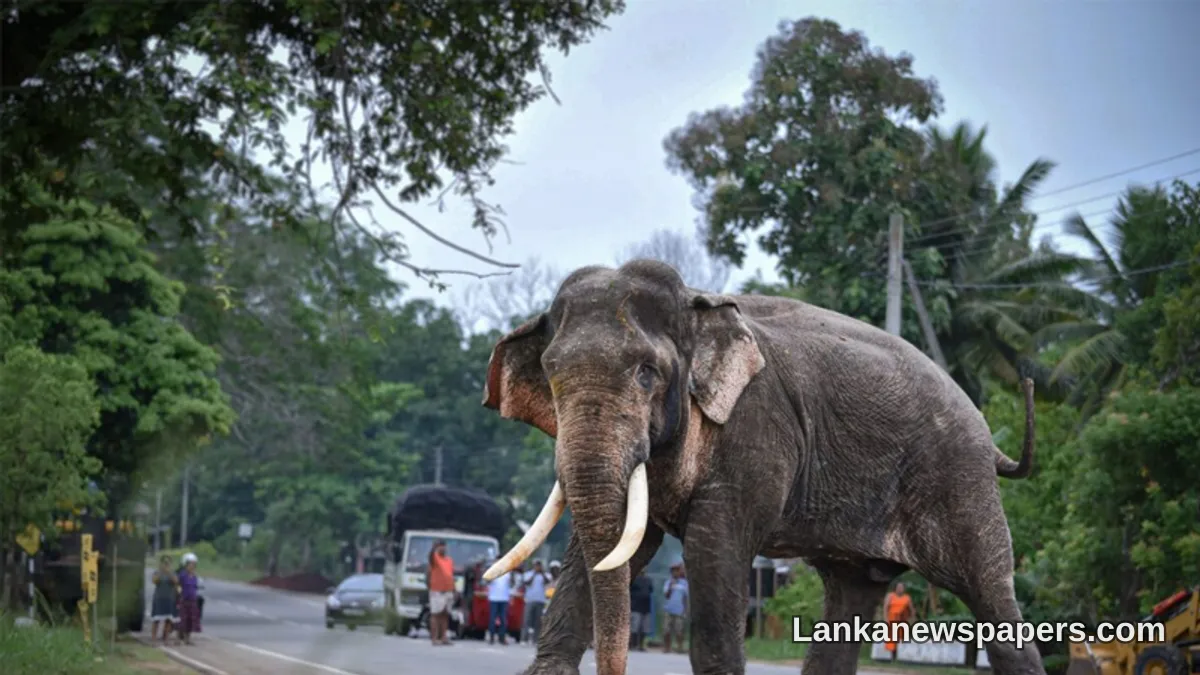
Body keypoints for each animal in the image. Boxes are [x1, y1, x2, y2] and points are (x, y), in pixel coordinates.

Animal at [479, 259, 1042, 675]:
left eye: (647, 372)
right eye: (551, 373)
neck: (699, 305)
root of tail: (989, 438)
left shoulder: (756, 431)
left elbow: (713, 550)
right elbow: (615, 548)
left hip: (959, 480)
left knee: (991, 596)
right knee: (850, 597)